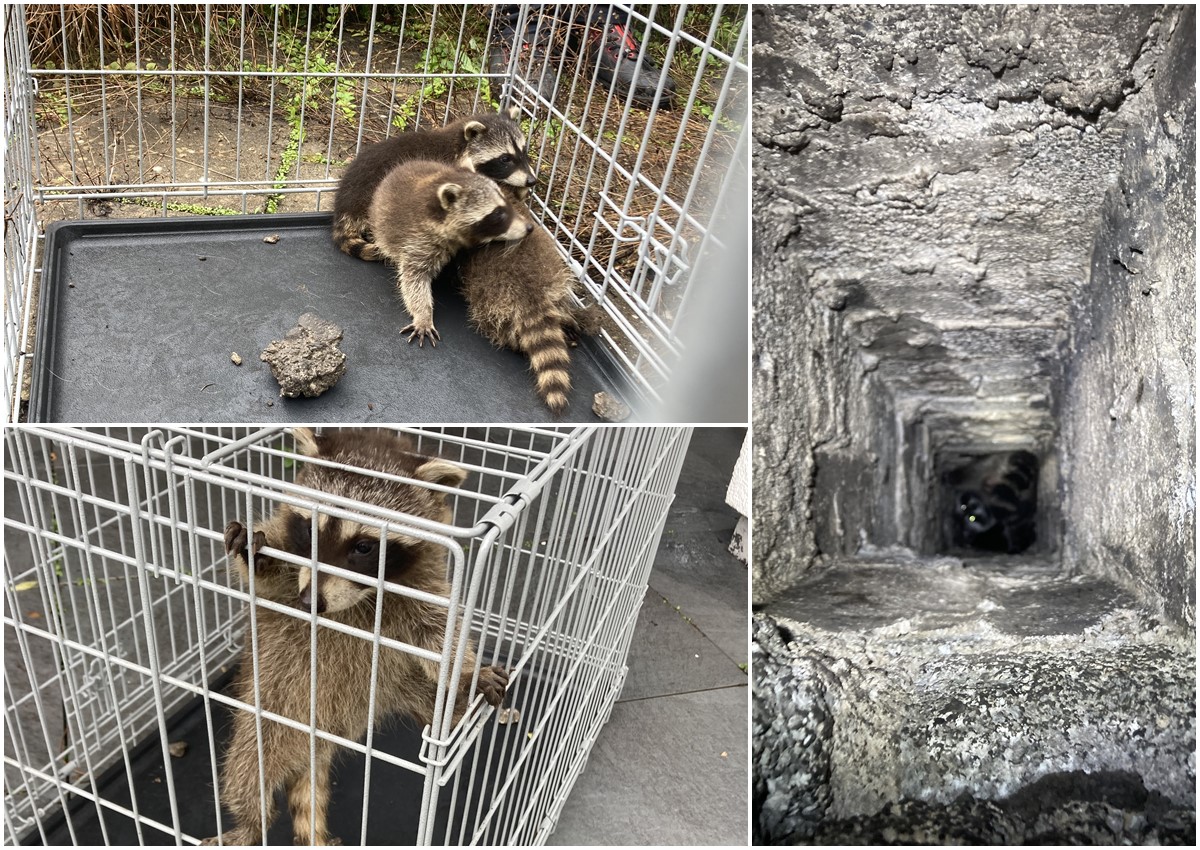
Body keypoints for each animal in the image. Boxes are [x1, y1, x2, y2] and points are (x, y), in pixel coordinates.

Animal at [204, 427, 504, 845]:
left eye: (363, 547)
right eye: (309, 530)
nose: (310, 602)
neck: (361, 600)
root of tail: (324, 734)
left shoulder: (422, 583)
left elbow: (436, 630)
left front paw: (467, 669)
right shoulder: (288, 573)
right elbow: (269, 584)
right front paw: (256, 557)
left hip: (398, 684)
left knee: (439, 703)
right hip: (271, 708)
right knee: (249, 769)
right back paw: (250, 823)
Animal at [367, 160, 532, 348]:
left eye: (506, 203)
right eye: (498, 215)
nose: (529, 227)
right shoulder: (418, 238)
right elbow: (414, 279)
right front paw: (423, 314)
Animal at [453, 193, 600, 417]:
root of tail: (530, 290)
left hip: (489, 300)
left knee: (497, 325)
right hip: (556, 278)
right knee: (560, 306)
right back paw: (569, 321)